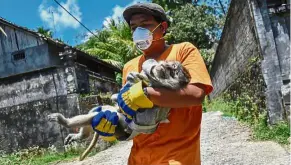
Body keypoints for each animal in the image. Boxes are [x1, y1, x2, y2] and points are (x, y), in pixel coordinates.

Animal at [47, 58, 192, 160]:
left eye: (172, 72)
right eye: (169, 66)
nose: (165, 66)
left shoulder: (161, 99)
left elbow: (145, 115)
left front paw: (134, 95)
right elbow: (133, 81)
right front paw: (125, 88)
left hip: (119, 124)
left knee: (97, 116)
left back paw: (65, 122)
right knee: (97, 110)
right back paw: (81, 135)